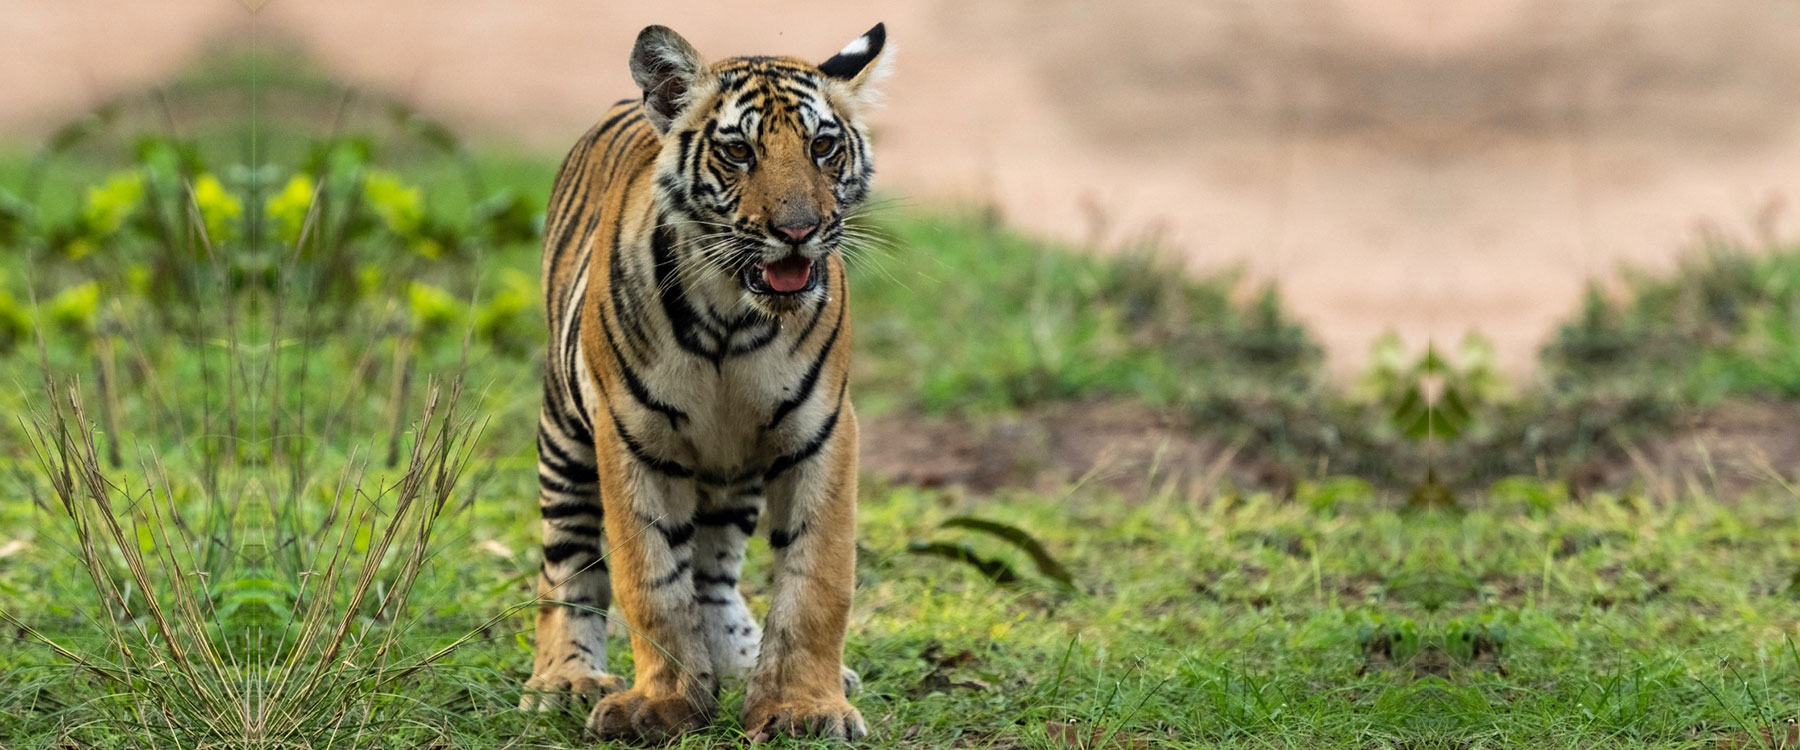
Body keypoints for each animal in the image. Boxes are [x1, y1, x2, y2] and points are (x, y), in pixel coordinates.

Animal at [518, 23, 889, 741]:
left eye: (823, 147)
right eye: (739, 151)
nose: (798, 231)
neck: (731, 318)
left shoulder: (822, 431)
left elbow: (816, 580)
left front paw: (803, 706)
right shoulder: (631, 437)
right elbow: (651, 582)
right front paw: (662, 706)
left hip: (735, 468)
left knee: (715, 572)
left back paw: (742, 662)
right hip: (565, 436)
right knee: (568, 564)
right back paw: (565, 679)